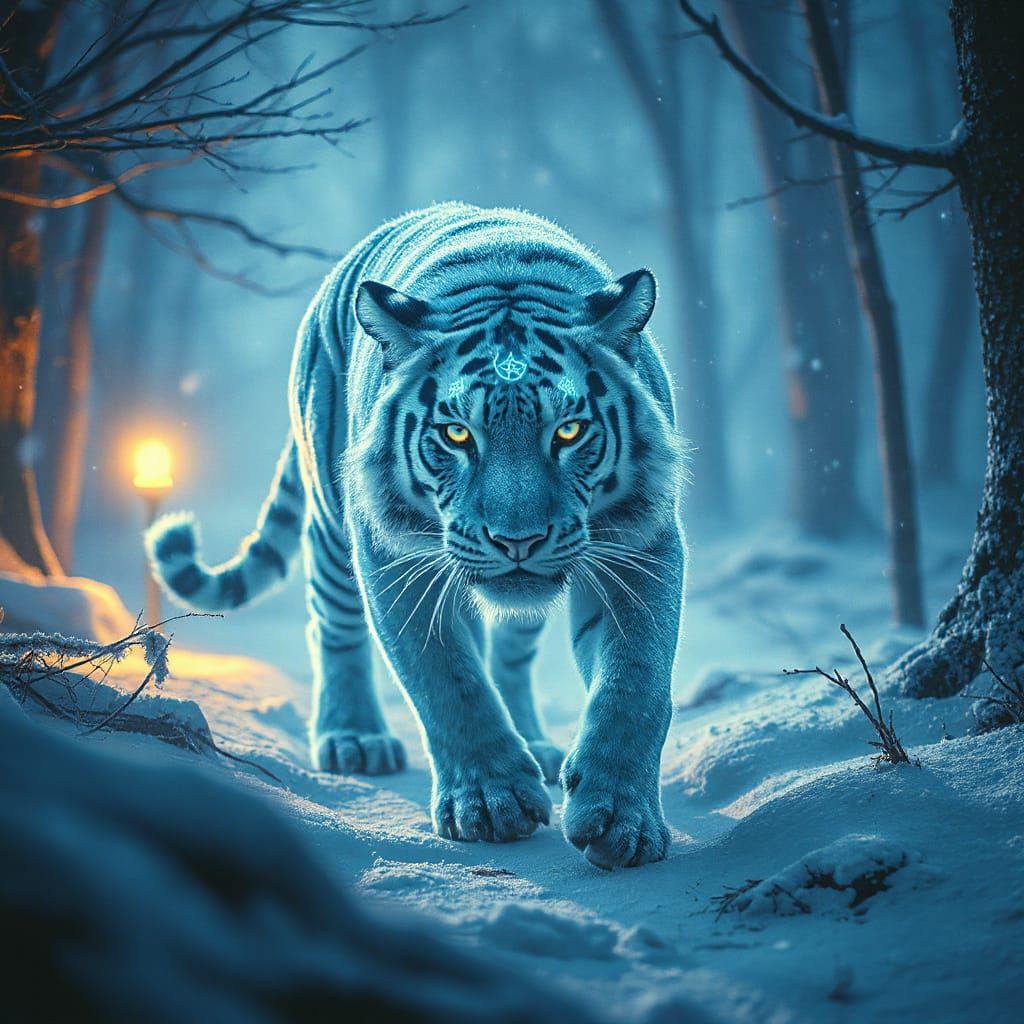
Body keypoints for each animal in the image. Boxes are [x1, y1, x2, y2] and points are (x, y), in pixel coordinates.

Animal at [147, 203, 686, 868]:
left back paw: (537, 743)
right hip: (333, 530)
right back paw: (355, 738)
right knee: (334, 628)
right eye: (457, 434)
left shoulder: (642, 544)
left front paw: (620, 819)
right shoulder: (394, 557)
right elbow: (447, 680)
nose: (517, 541)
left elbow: (635, 684)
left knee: (510, 654)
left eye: (568, 431)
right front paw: (491, 803)